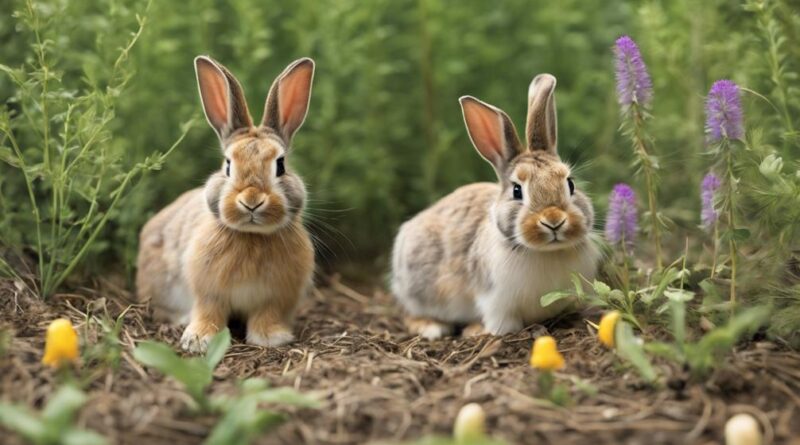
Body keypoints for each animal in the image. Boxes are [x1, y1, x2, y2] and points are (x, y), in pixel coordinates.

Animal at [136, 55, 314, 352]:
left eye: (280, 166)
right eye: (227, 165)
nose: (251, 201)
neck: (251, 236)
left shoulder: (275, 298)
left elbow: (266, 315)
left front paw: (271, 337)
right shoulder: (207, 292)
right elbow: (209, 312)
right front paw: (199, 339)